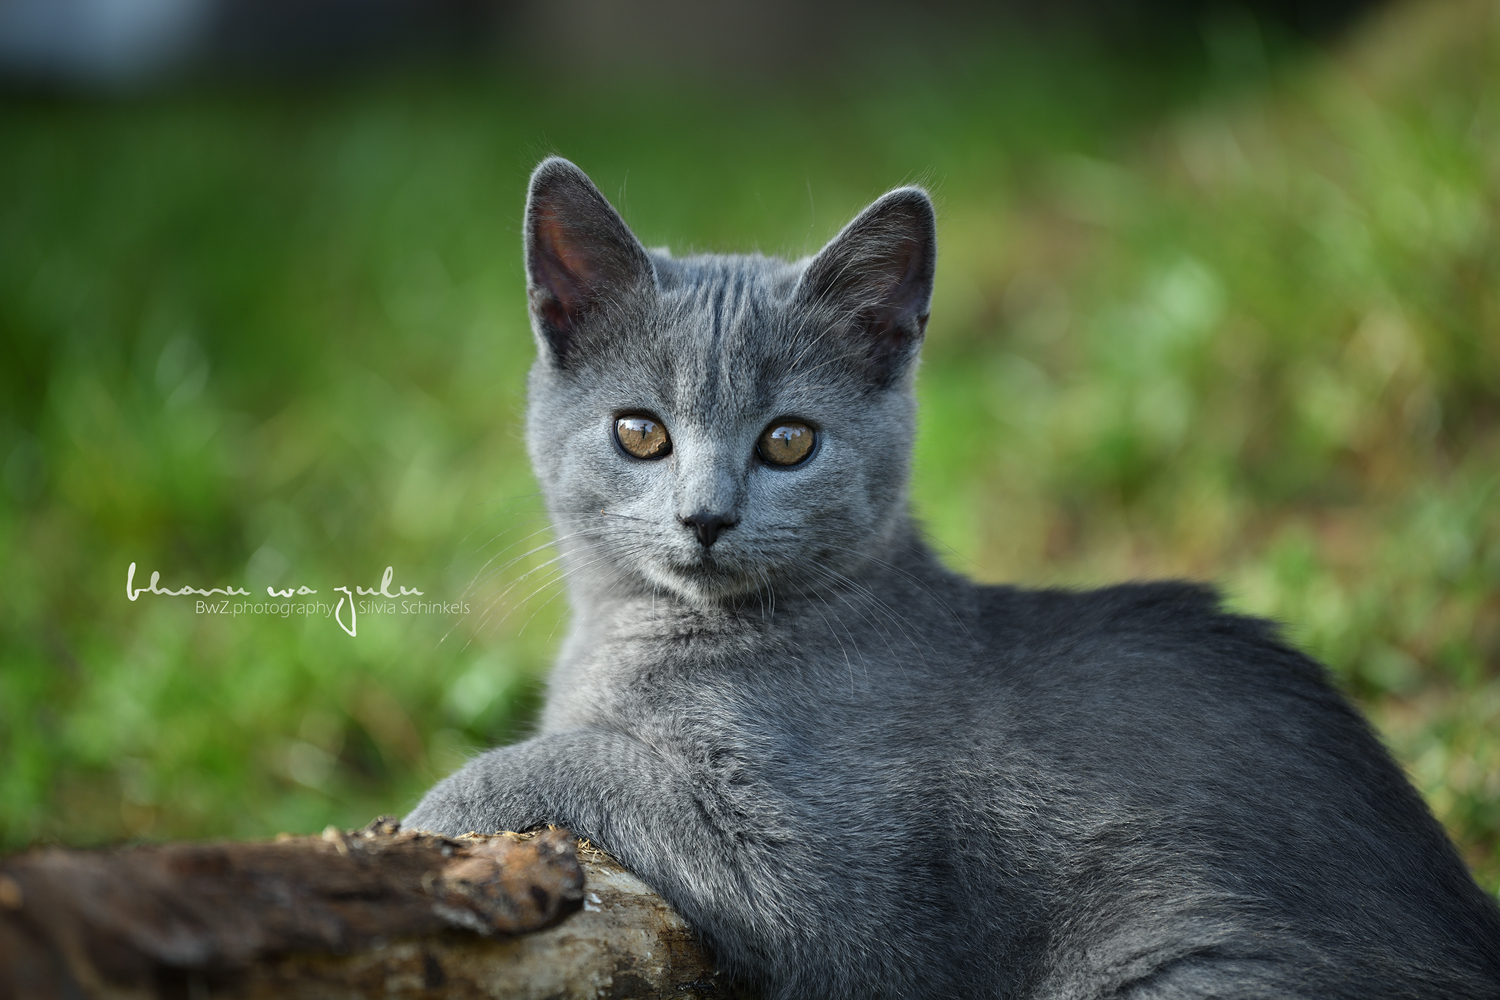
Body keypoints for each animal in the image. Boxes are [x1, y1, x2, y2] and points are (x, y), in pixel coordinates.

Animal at [411, 158, 1500, 1000]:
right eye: (640, 432)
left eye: (789, 440)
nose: (707, 516)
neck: (647, 635)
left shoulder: (823, 885)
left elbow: (588, 759)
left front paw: (432, 818)